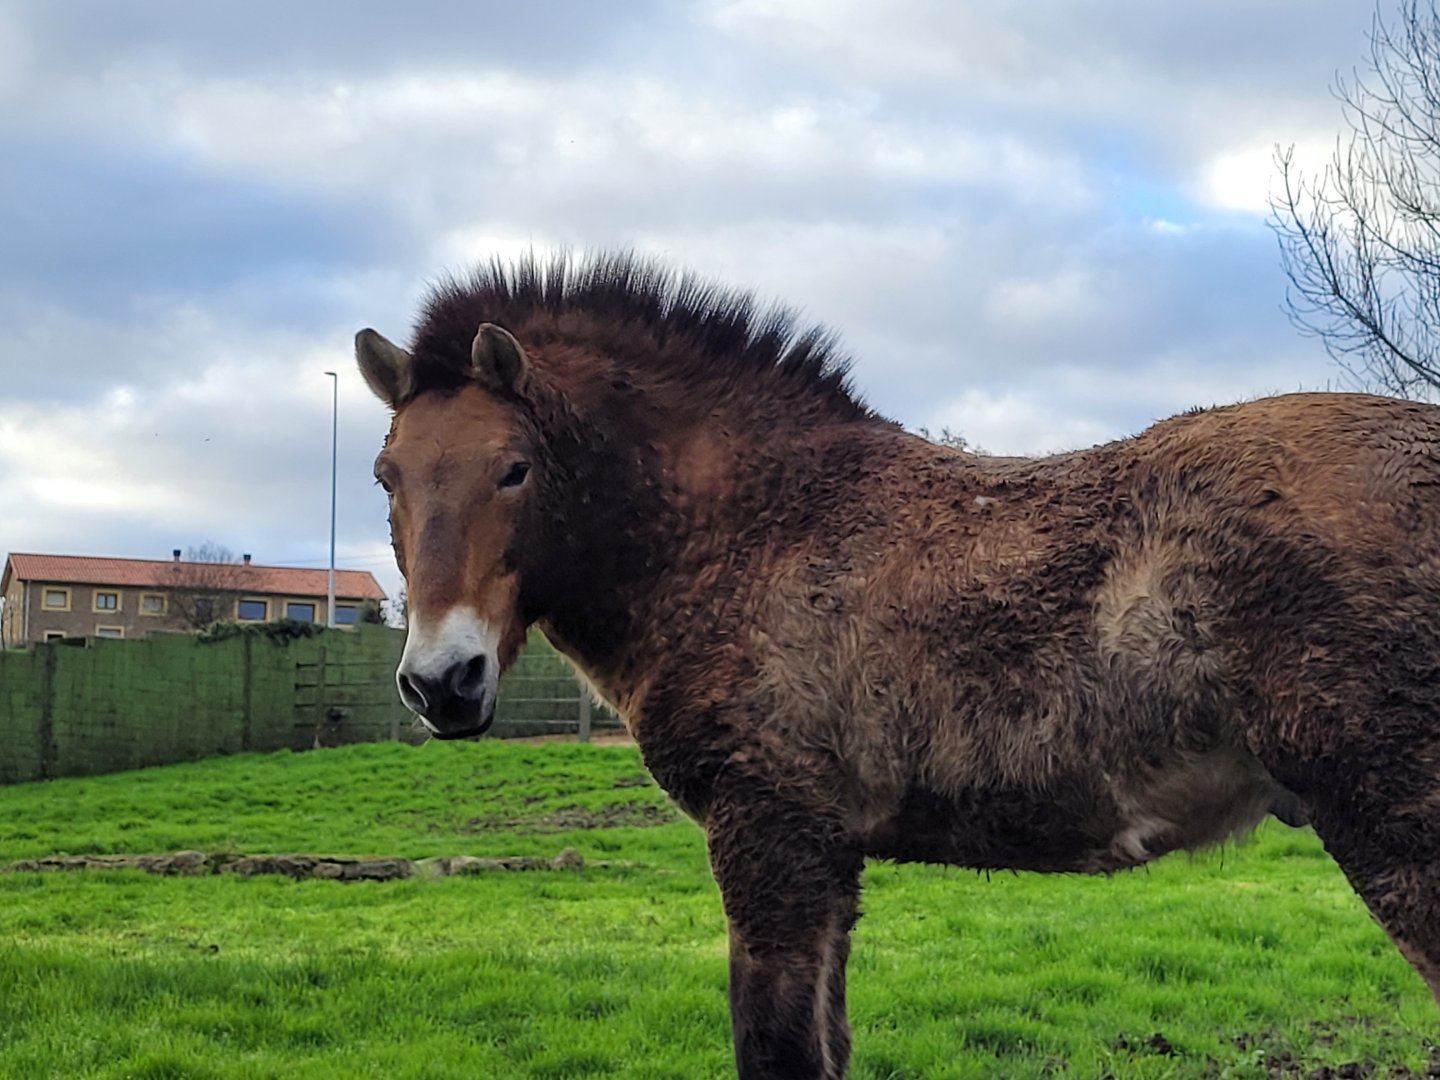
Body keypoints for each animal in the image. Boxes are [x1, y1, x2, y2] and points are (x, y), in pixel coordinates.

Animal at [356, 251, 1440, 1080]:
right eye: (387, 475)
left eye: (515, 469)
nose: (441, 683)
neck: (750, 532)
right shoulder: (831, 855)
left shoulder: (771, 836)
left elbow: (778, 1052)